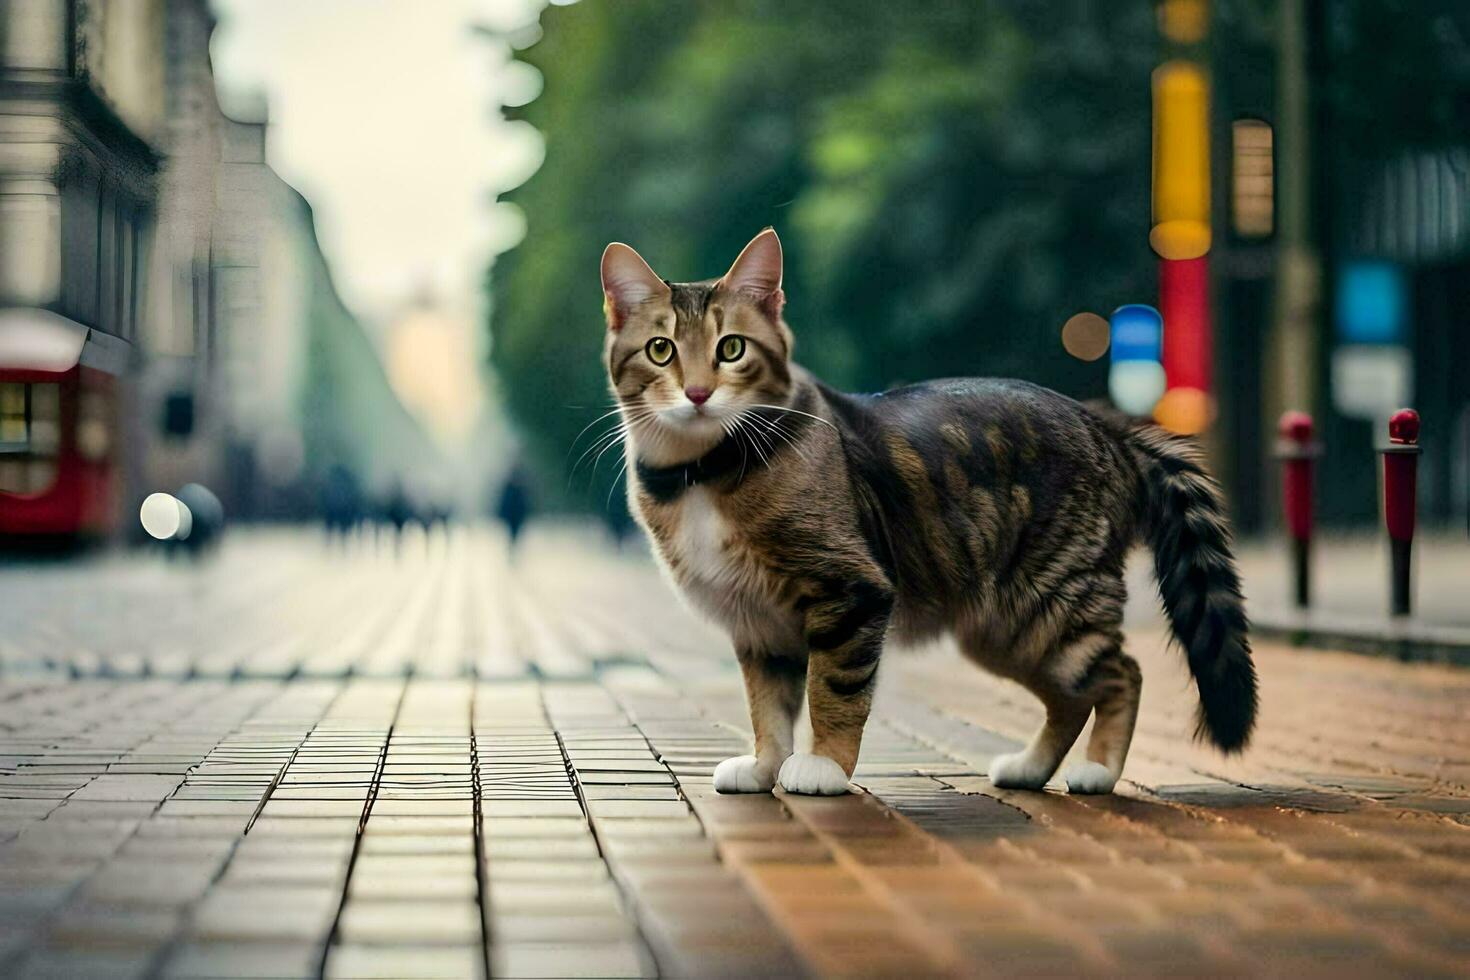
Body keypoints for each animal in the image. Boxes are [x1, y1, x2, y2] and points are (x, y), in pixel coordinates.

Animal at [596, 227, 1252, 799]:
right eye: (661, 351)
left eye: (731, 349)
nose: (698, 394)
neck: (702, 471)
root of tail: (1108, 425)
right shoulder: (760, 625)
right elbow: (768, 708)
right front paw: (764, 767)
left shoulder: (849, 592)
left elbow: (834, 691)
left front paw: (824, 766)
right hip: (1007, 630)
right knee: (1071, 697)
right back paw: (1031, 767)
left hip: (1054, 606)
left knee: (1122, 674)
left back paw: (1099, 771)